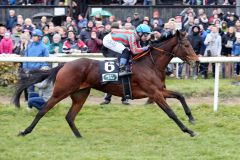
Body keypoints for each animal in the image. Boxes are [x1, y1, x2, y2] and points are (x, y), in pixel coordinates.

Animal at [13, 30, 199, 138]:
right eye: (186, 45)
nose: (197, 60)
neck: (150, 64)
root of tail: (65, 65)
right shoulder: (154, 93)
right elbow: (171, 113)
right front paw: (188, 131)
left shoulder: (159, 90)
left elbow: (181, 96)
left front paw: (191, 118)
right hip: (61, 91)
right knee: (43, 110)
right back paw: (24, 131)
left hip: (80, 94)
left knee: (70, 116)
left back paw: (80, 136)